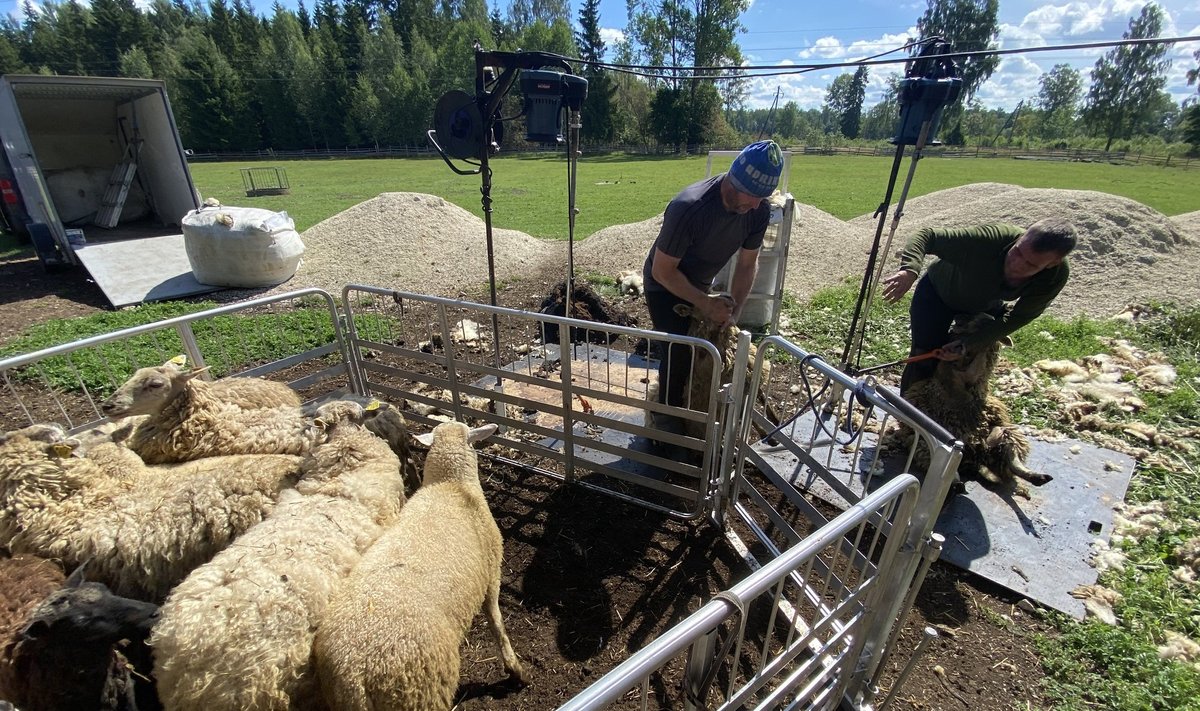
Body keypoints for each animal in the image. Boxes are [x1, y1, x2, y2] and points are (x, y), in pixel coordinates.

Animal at [309, 420, 525, 706]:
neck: (451, 484)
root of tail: (356, 676)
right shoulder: (491, 573)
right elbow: (497, 622)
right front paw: (515, 670)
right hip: (423, 691)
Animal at [892, 314, 1051, 497]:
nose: (988, 319)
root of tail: (977, 455)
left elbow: (979, 363)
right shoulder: (954, 368)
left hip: (1006, 432)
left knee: (1012, 460)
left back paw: (1037, 476)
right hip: (924, 444)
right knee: (948, 471)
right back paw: (958, 484)